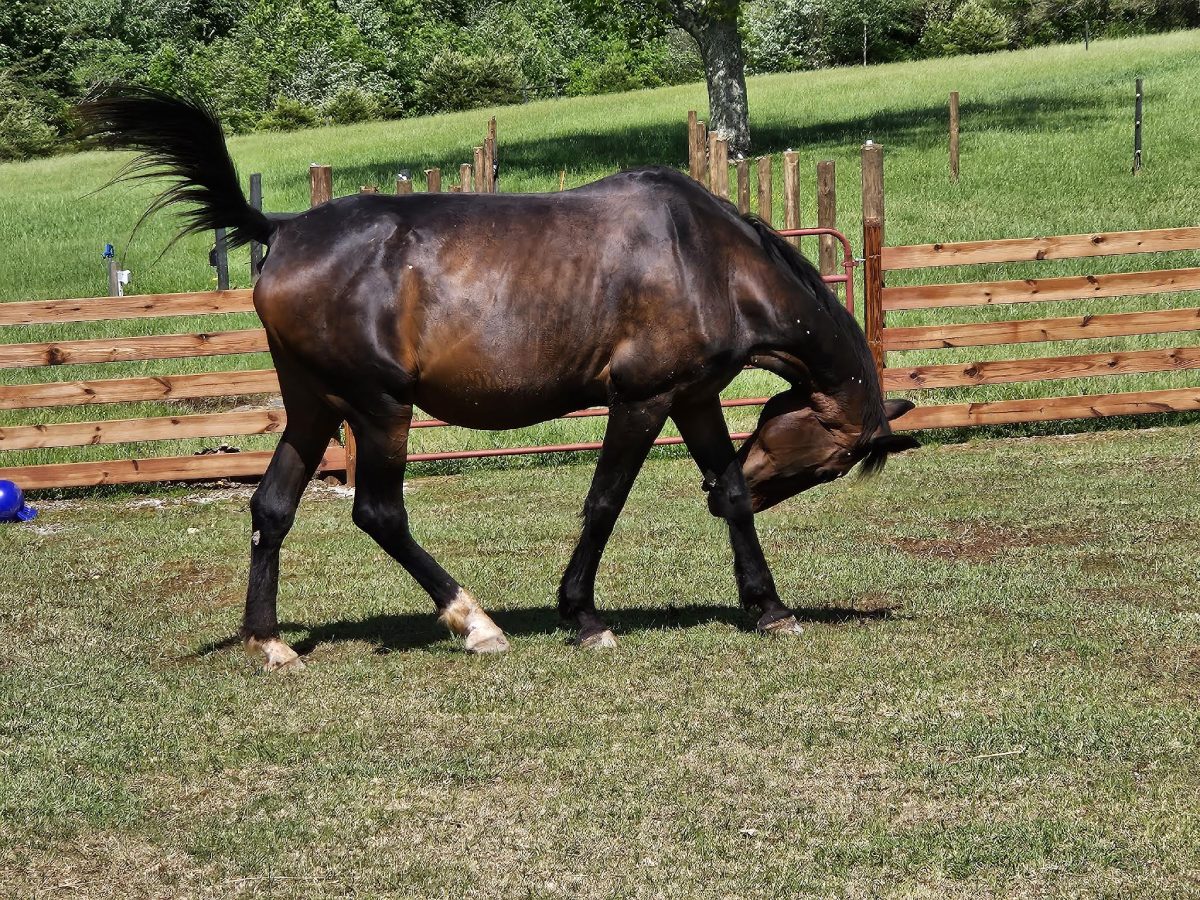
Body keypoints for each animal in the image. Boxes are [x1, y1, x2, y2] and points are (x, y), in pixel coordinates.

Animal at [77, 88, 916, 672]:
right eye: (833, 462)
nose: (706, 503)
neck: (705, 256)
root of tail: (281, 229)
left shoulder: (694, 397)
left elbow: (735, 489)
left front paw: (768, 606)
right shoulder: (641, 402)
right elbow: (604, 502)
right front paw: (582, 616)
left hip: (313, 406)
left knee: (272, 507)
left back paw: (270, 641)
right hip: (380, 408)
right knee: (379, 513)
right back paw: (474, 622)